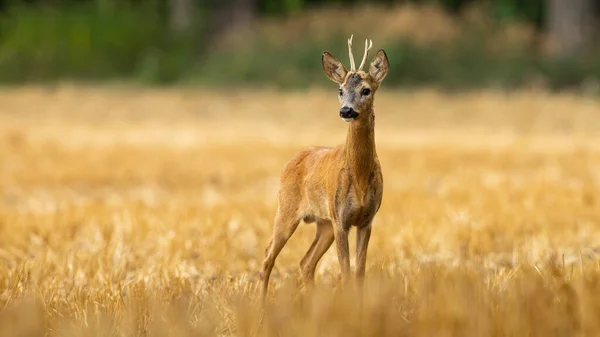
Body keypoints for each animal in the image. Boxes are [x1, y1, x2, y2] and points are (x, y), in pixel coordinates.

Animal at [258, 35, 390, 300]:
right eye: (340, 90)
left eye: (366, 90)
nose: (346, 110)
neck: (359, 176)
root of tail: (291, 161)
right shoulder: (341, 220)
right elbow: (346, 274)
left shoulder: (366, 219)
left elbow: (359, 273)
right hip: (286, 209)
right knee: (268, 256)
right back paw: (260, 305)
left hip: (323, 222)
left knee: (306, 262)